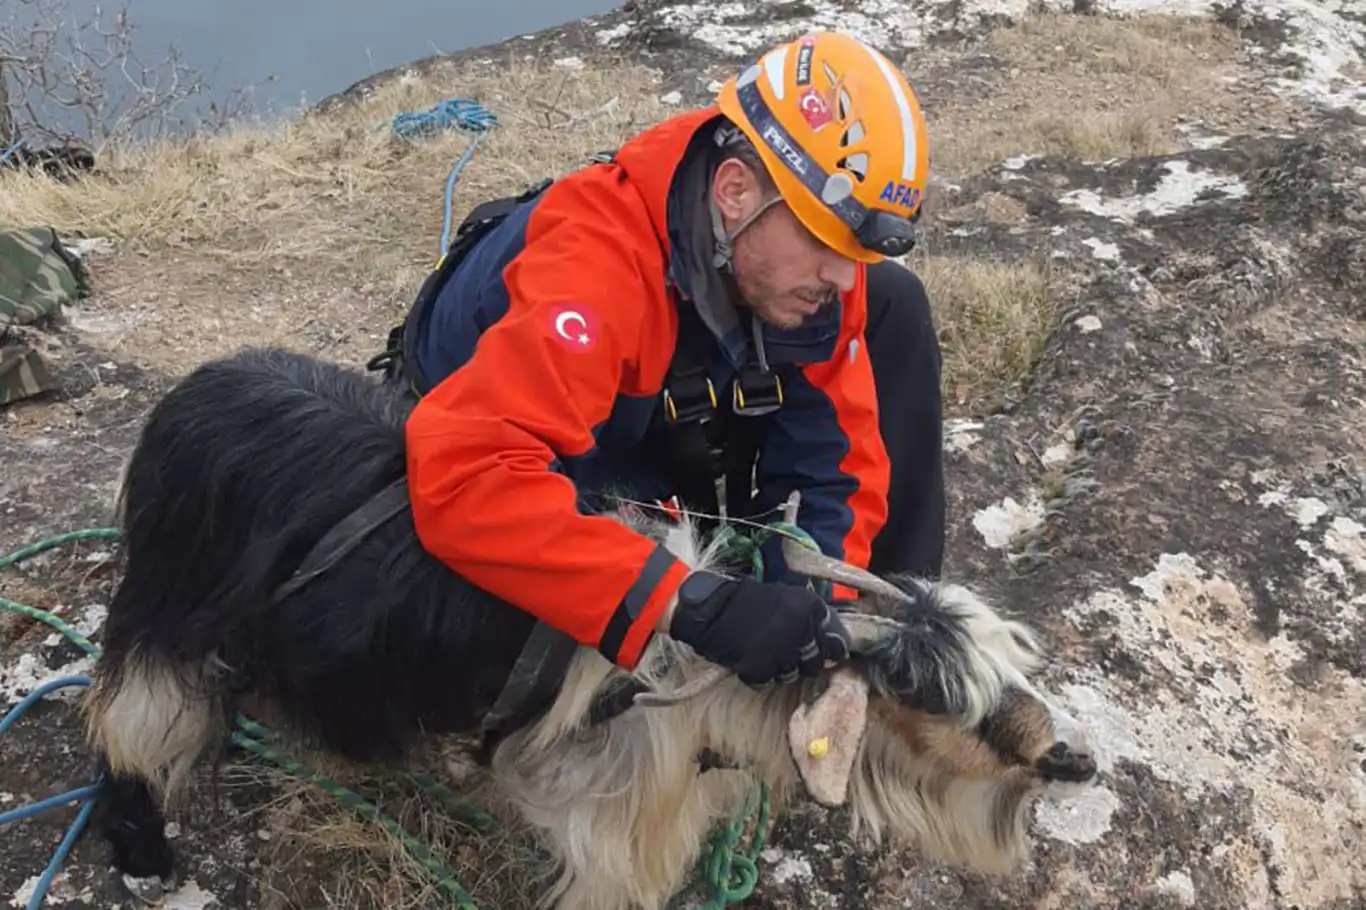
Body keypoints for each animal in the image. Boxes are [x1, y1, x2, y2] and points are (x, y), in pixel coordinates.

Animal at [82, 345, 1098, 907]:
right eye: (933, 698)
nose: (1071, 760)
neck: (691, 679)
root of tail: (190, 393)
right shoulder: (606, 837)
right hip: (164, 603)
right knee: (128, 715)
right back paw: (142, 847)